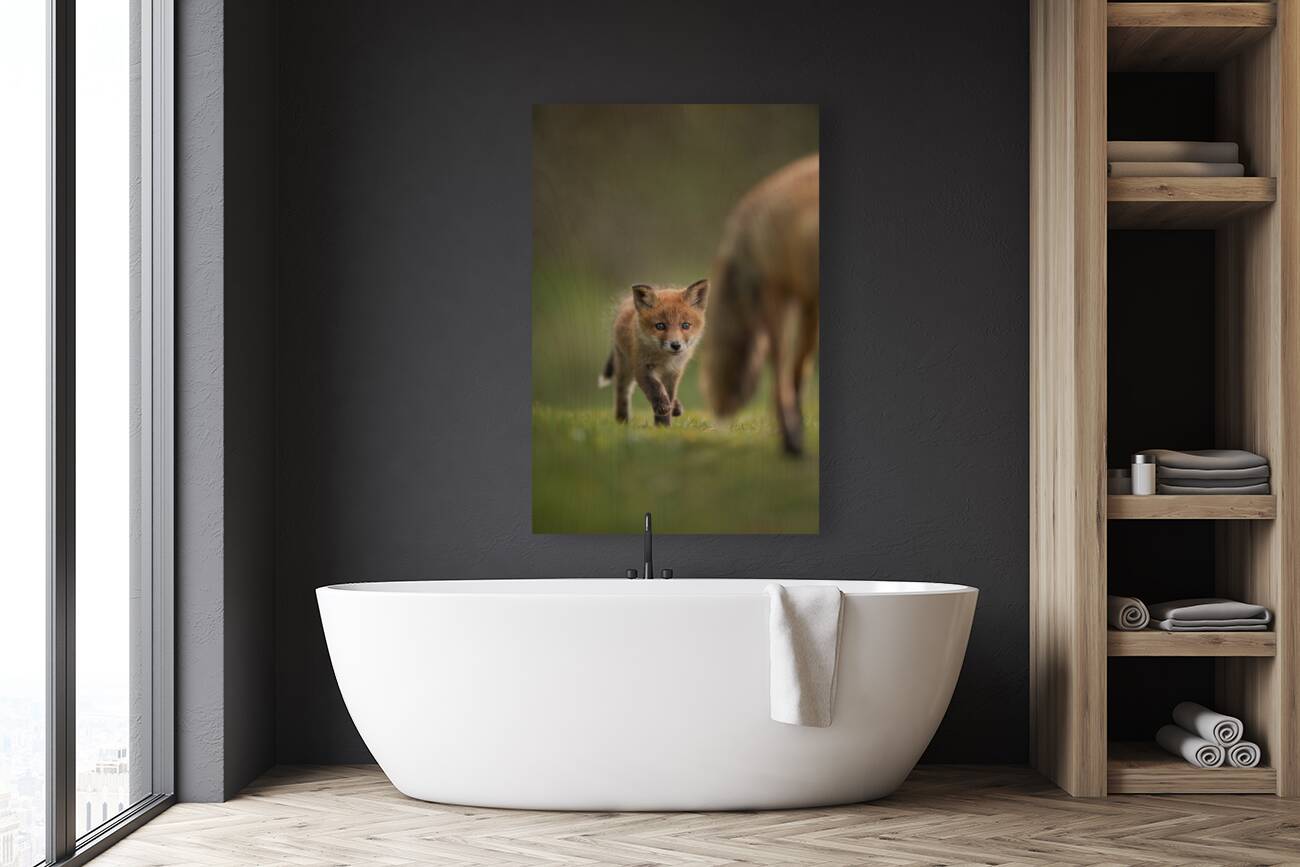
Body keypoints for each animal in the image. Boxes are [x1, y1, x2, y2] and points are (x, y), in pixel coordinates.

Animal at [598, 280, 709, 426]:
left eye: (685, 325)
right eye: (660, 326)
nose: (675, 345)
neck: (665, 360)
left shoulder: (674, 373)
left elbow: (669, 394)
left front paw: (664, 424)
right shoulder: (642, 368)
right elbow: (655, 388)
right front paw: (662, 415)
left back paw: (676, 406)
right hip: (624, 366)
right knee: (622, 391)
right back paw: (622, 421)